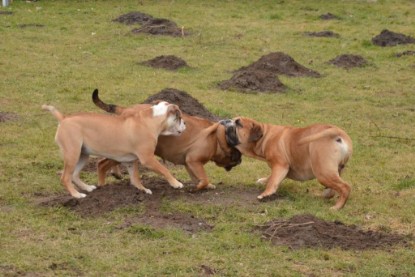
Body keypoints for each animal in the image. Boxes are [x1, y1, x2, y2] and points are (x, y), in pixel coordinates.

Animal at [41, 100, 185, 197]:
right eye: (180, 117)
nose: (185, 123)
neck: (151, 120)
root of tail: (63, 119)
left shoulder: (131, 161)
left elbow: (135, 178)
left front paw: (143, 190)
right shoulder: (148, 159)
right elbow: (164, 170)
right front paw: (176, 183)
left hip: (83, 155)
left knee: (74, 175)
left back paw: (87, 188)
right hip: (73, 154)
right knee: (65, 177)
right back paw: (77, 195)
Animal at [91, 89, 240, 189]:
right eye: (236, 152)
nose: (240, 160)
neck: (218, 139)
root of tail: (125, 110)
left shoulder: (189, 164)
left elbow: (197, 177)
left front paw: (205, 185)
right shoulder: (193, 161)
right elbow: (203, 177)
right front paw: (198, 186)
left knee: (104, 161)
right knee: (102, 164)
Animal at [223, 116, 352, 209]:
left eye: (238, 123)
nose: (225, 121)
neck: (265, 136)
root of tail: (338, 132)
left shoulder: (280, 165)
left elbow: (272, 181)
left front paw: (265, 194)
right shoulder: (283, 169)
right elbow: (272, 178)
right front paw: (263, 181)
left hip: (322, 172)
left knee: (345, 187)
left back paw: (337, 207)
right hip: (336, 169)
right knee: (335, 188)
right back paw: (328, 194)